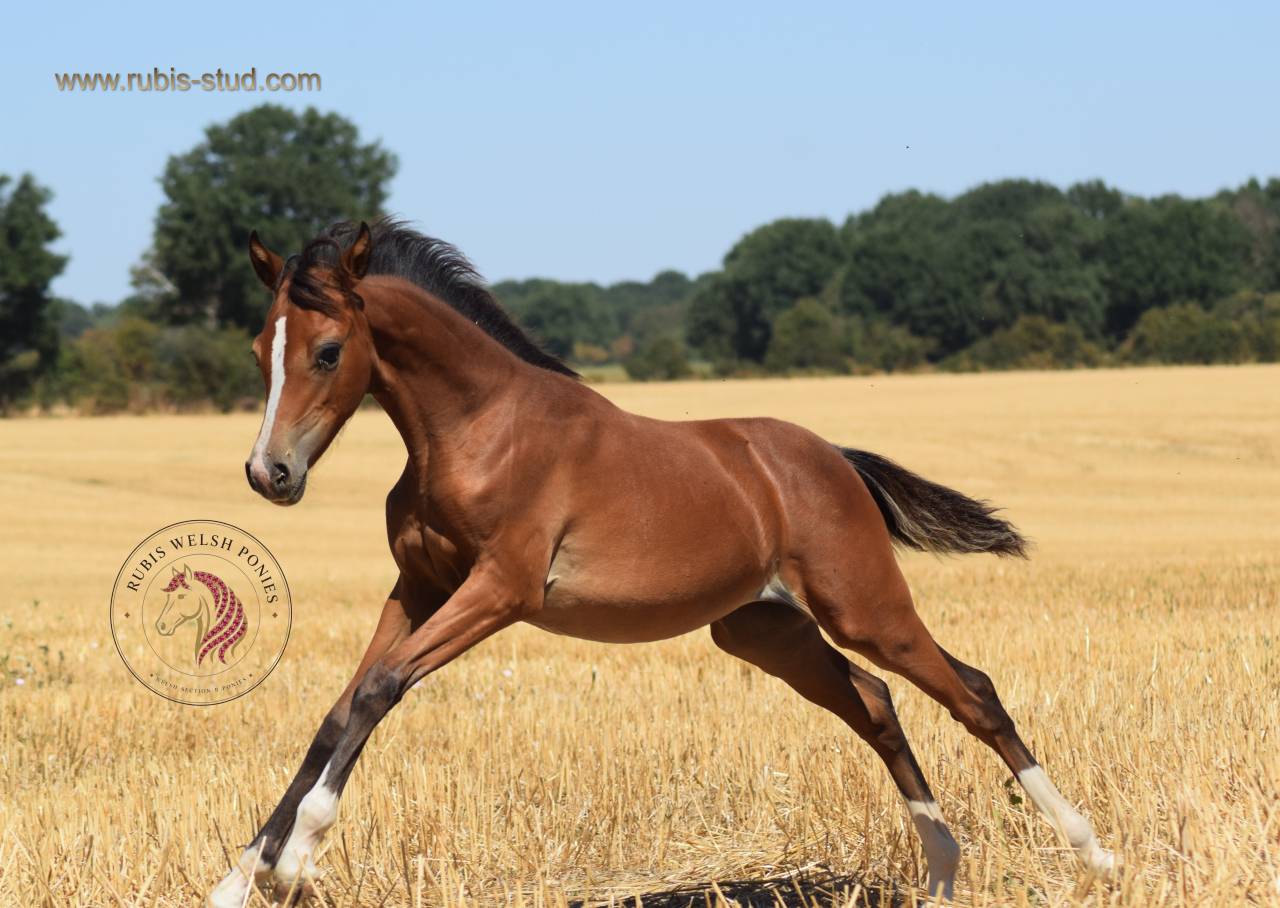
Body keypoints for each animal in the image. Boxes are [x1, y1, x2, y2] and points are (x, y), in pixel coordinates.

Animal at [208, 218, 1115, 906]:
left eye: (329, 351)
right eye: (257, 352)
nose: (269, 474)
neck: (473, 428)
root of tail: (833, 459)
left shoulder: (498, 590)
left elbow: (380, 690)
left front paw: (295, 859)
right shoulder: (421, 587)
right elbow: (340, 709)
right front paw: (239, 878)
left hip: (864, 608)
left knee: (972, 693)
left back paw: (1091, 851)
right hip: (764, 631)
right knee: (876, 703)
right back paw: (942, 869)